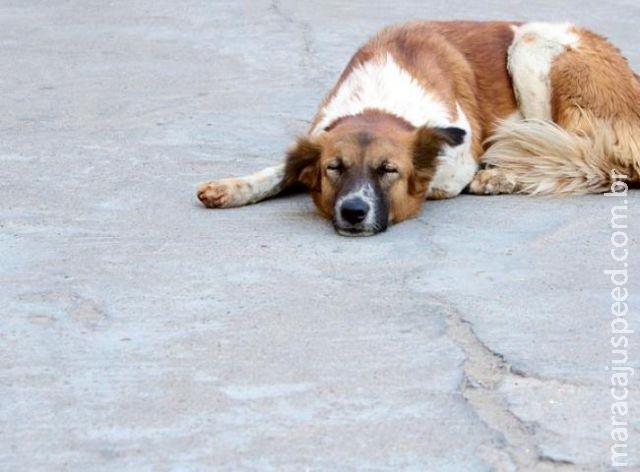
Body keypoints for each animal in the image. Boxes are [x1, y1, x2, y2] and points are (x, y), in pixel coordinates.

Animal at [196, 21, 640, 236]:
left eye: (388, 170)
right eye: (334, 168)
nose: (353, 211)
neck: (379, 102)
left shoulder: (456, 157)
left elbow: (438, 180)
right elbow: (281, 170)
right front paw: (237, 186)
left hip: (531, 48)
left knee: (592, 161)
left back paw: (502, 176)